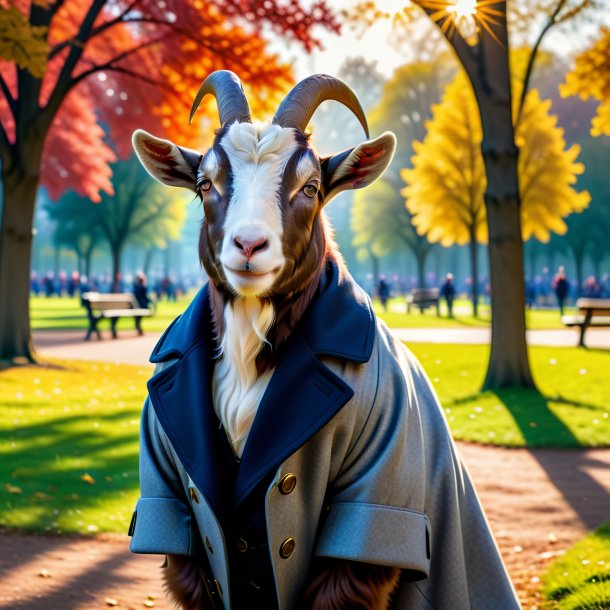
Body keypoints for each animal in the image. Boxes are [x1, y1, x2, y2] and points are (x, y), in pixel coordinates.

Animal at [129, 70, 516, 608]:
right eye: (206, 183)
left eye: (310, 186)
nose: (249, 245)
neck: (252, 362)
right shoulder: (174, 505)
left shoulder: (376, 496)